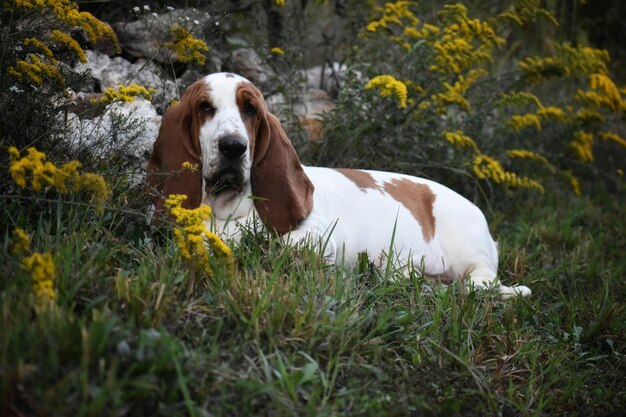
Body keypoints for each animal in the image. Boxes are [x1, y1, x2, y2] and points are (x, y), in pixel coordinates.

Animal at [147, 72, 532, 300]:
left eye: (250, 109)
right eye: (204, 107)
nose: (233, 147)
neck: (225, 207)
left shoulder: (322, 235)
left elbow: (280, 246)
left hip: (471, 253)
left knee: (484, 283)